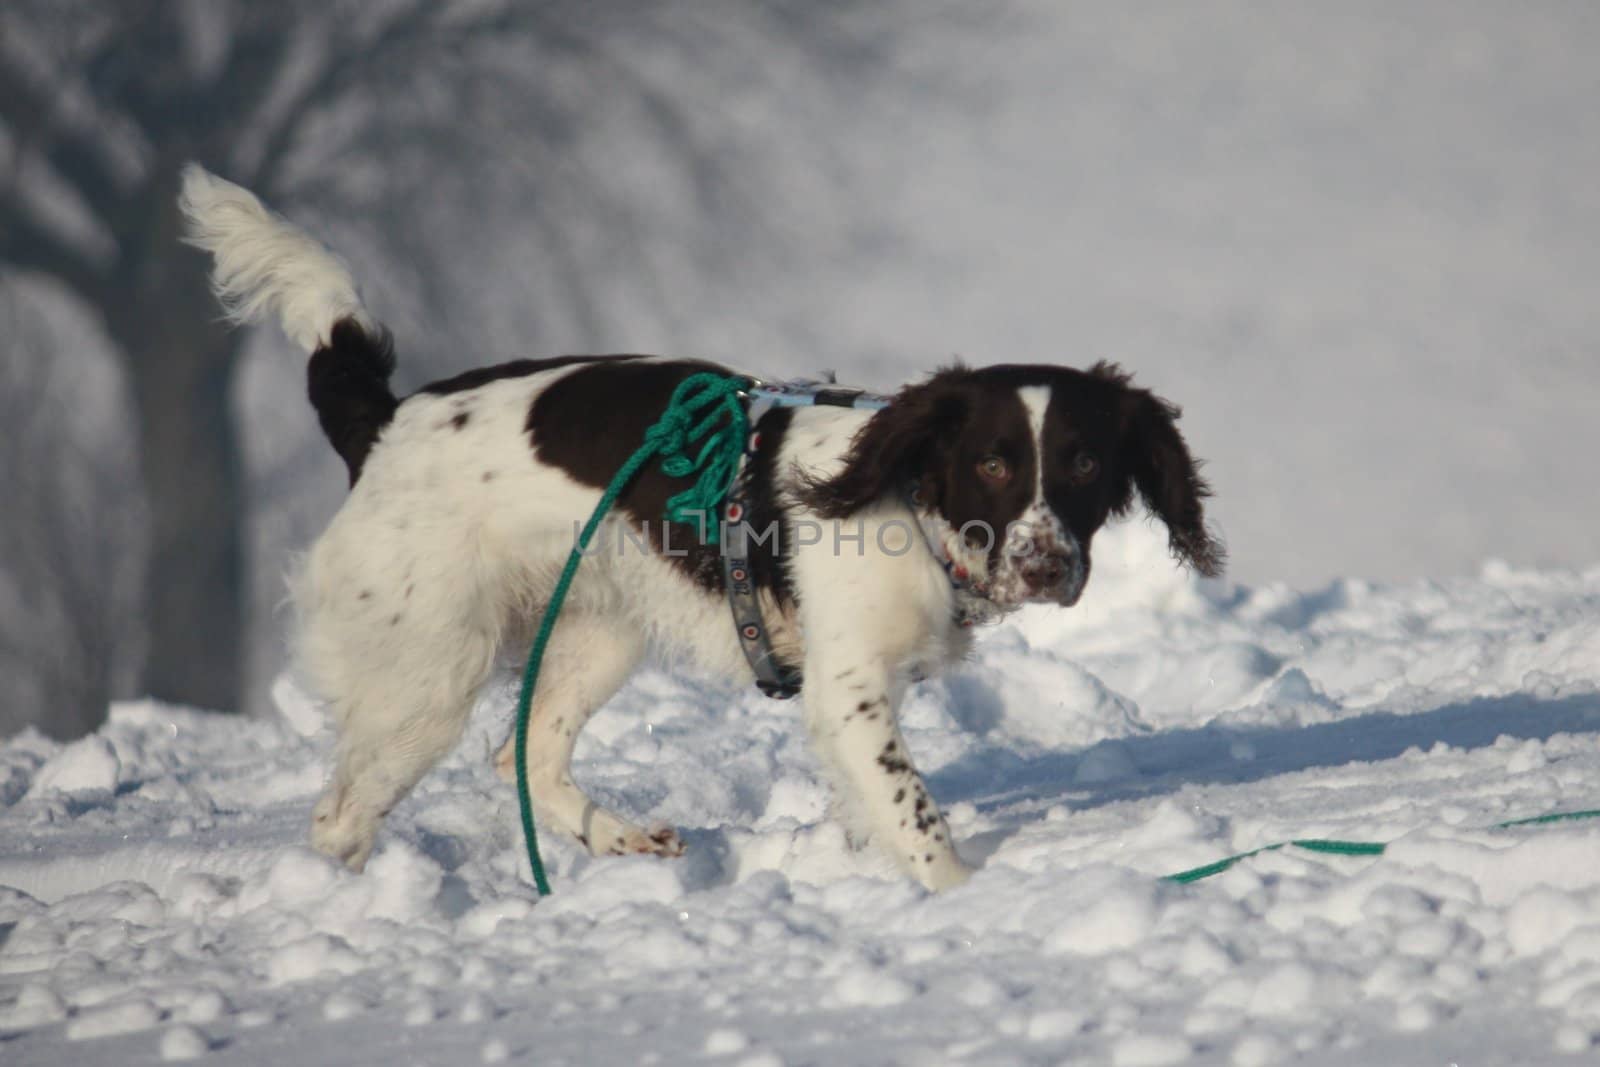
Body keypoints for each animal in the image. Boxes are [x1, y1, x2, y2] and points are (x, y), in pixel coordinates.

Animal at [178, 163, 1222, 889]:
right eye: (996, 463)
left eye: (1084, 463)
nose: (1048, 566)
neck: (907, 503)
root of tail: (388, 422)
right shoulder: (849, 687)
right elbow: (912, 805)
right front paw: (966, 897)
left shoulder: (854, 692)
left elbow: (872, 805)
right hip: (426, 668)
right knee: (344, 815)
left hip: (593, 632)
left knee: (524, 752)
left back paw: (620, 836)